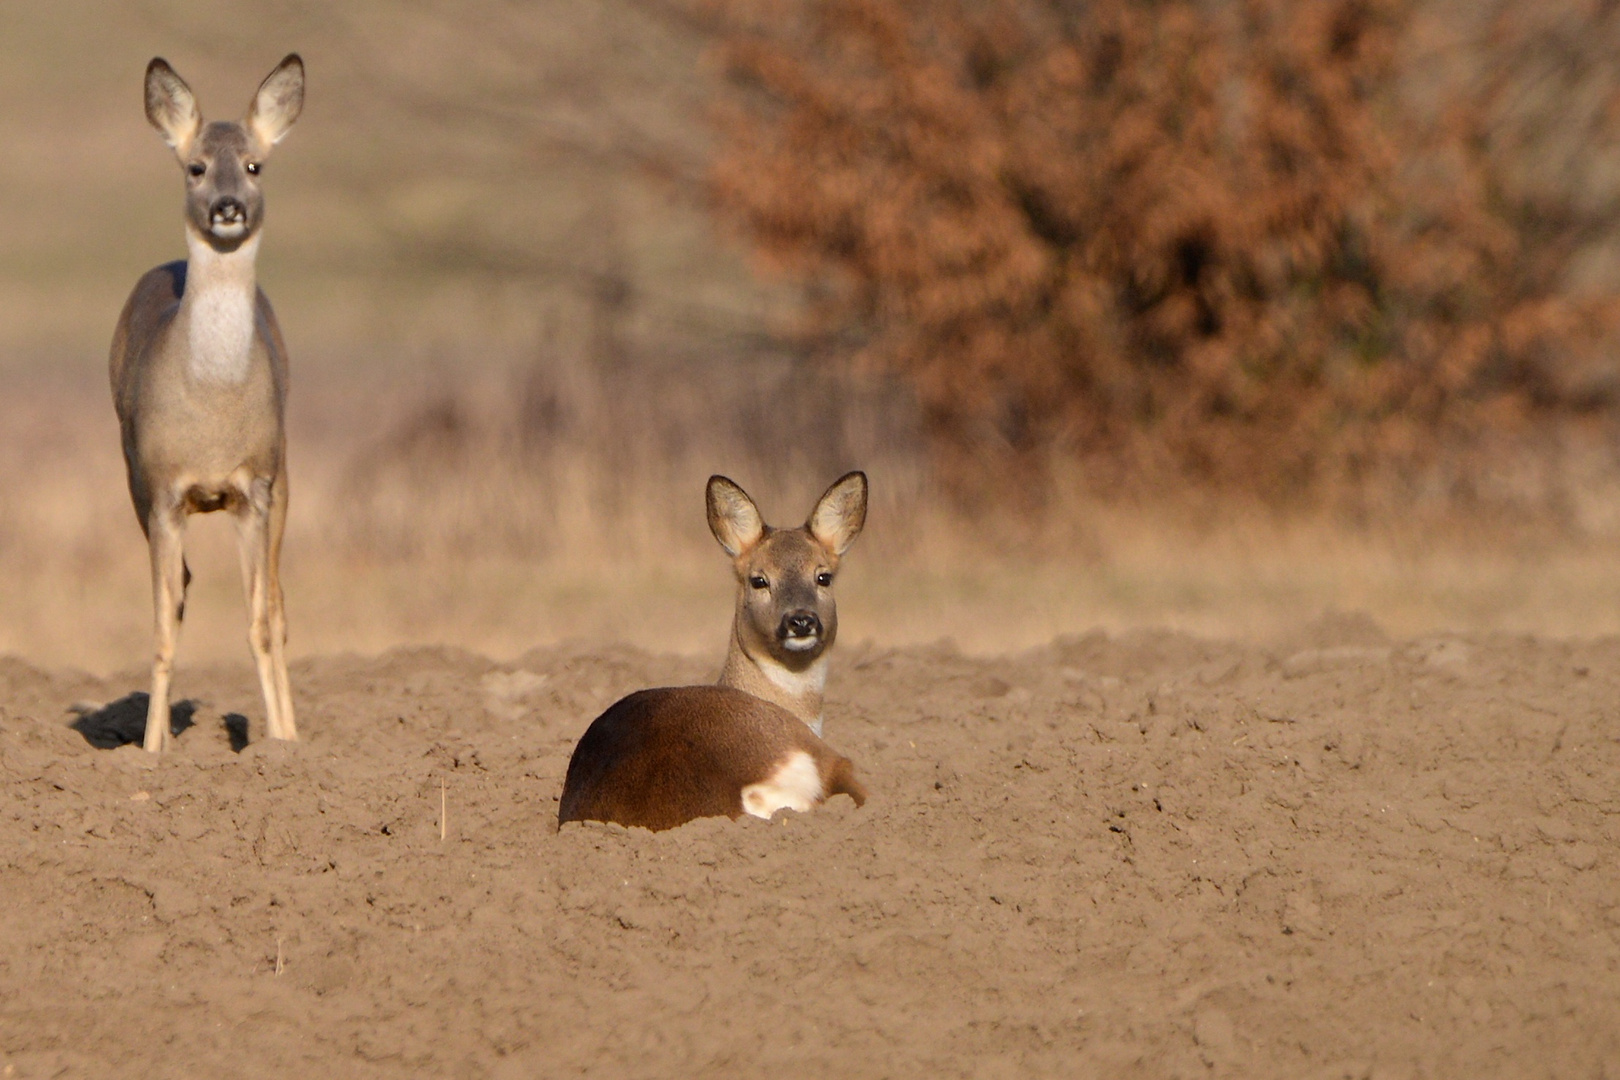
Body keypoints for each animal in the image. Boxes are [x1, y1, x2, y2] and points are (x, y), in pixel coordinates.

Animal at [113, 57, 306, 751]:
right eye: (195, 166)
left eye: (254, 165)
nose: (227, 207)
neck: (213, 411)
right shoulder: (163, 492)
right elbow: (164, 626)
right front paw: (151, 753)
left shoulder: (255, 489)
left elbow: (258, 622)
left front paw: (280, 749)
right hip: (133, 481)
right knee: (185, 592)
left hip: (285, 474)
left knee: (277, 605)